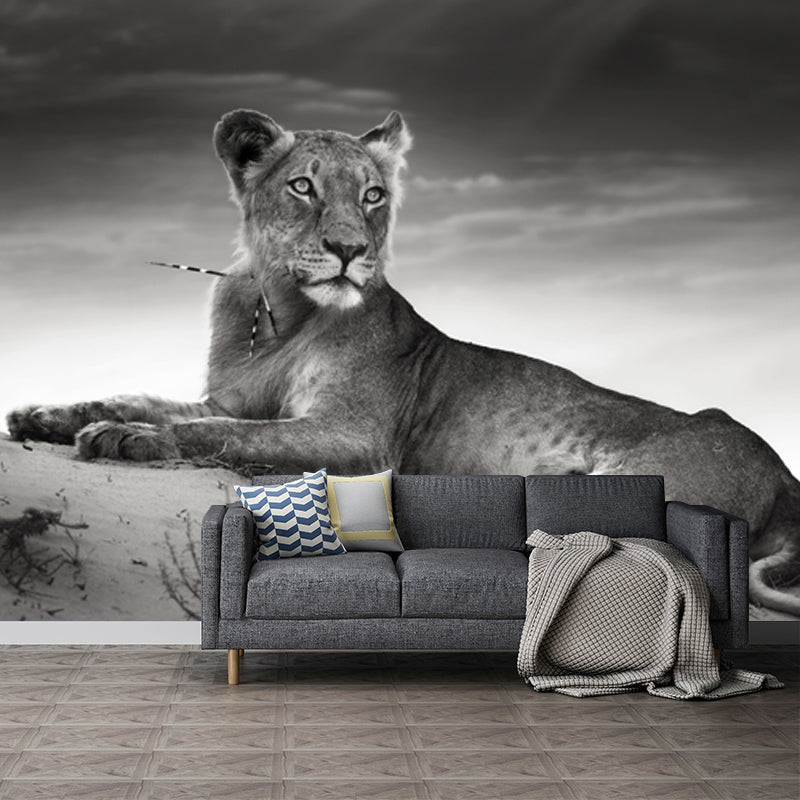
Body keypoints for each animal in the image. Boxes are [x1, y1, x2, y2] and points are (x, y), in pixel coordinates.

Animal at [7, 109, 799, 616]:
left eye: (373, 195)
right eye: (303, 187)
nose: (350, 250)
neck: (280, 311)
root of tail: (784, 473)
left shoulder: (358, 437)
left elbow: (218, 435)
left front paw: (125, 438)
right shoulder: (229, 397)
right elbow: (144, 397)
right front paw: (47, 414)